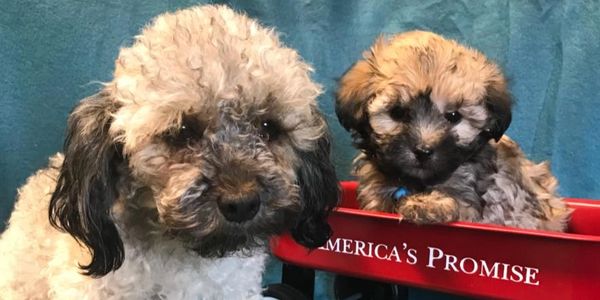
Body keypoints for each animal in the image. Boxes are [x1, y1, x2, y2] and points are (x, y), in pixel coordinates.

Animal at [336, 31, 568, 230]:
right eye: (398, 112)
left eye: (454, 116)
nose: (423, 151)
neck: (417, 182)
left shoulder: (474, 203)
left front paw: (426, 205)